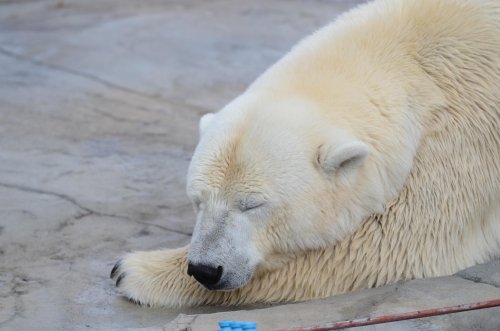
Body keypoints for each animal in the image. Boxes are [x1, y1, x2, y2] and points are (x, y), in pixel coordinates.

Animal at [110, 0, 500, 308]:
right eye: (197, 200)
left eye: (252, 205)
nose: (206, 269)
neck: (411, 61)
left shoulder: (463, 137)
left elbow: (385, 247)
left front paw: (132, 270)